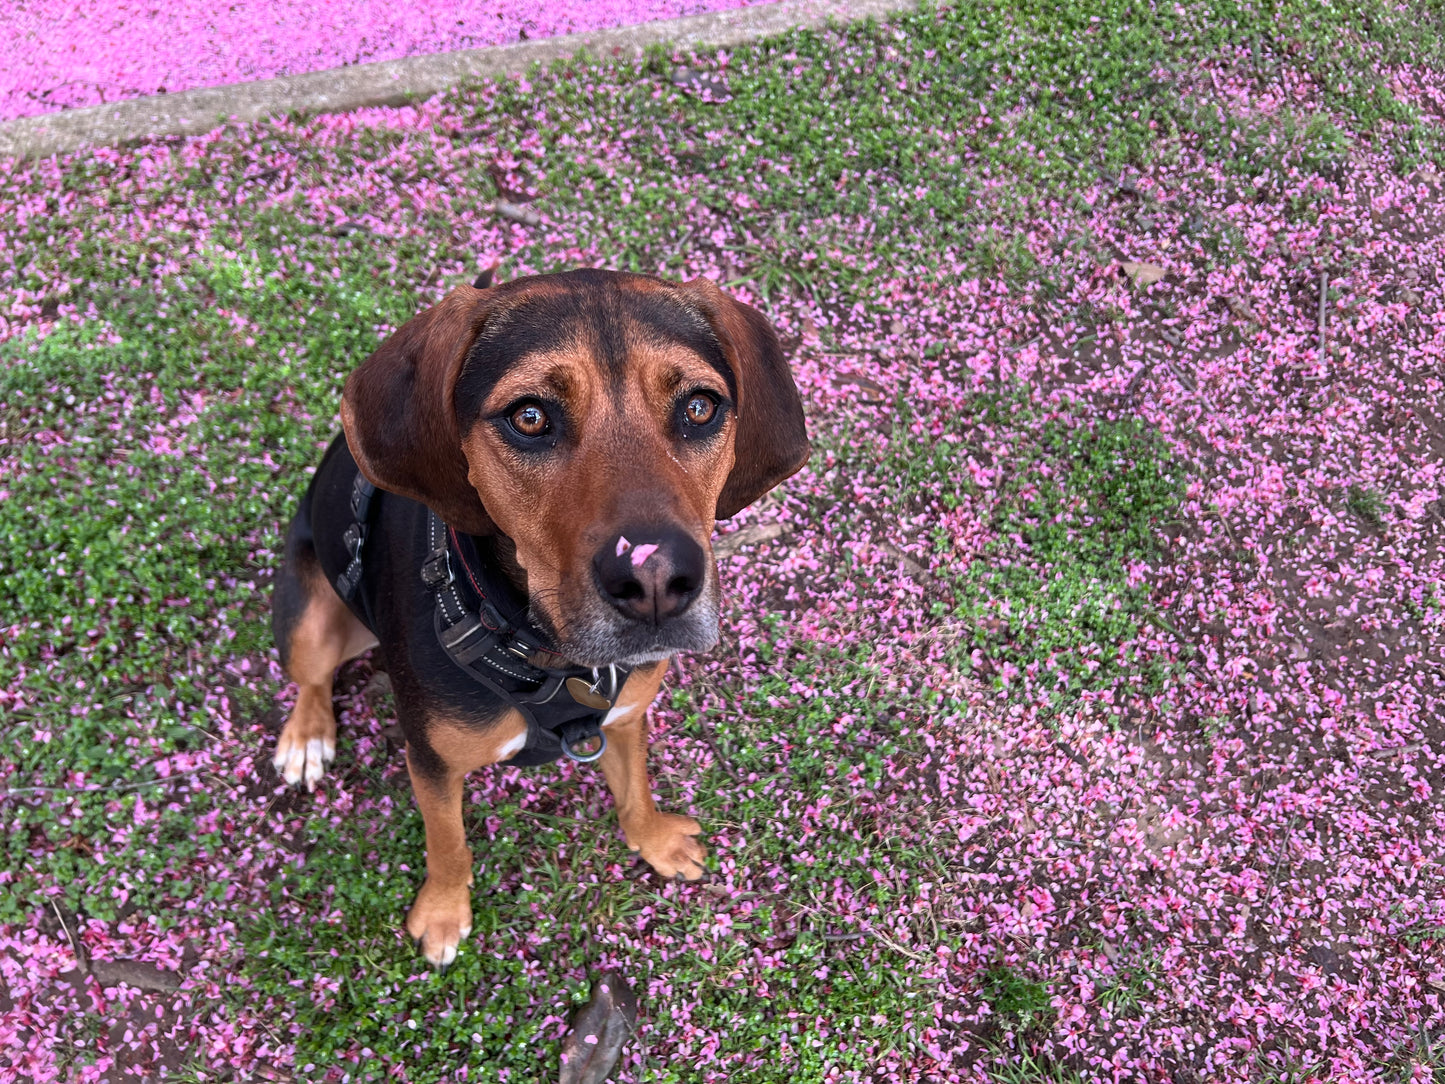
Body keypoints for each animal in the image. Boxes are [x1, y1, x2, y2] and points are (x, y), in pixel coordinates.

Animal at [271, 267, 814, 965]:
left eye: (699, 407)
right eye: (529, 417)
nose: (656, 579)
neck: (548, 654)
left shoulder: (626, 714)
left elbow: (635, 789)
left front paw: (656, 840)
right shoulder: (432, 761)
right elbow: (447, 843)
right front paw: (443, 913)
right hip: (311, 618)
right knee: (311, 676)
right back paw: (306, 736)